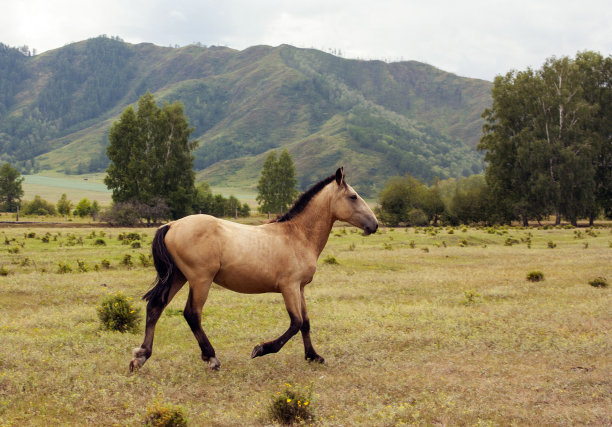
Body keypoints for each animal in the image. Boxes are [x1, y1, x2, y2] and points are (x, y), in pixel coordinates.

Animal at [129, 167, 378, 372]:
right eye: (353, 196)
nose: (374, 224)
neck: (297, 235)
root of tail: (171, 225)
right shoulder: (289, 287)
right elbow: (295, 323)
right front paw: (261, 349)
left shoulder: (300, 288)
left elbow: (306, 323)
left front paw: (313, 356)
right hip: (200, 280)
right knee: (192, 314)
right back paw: (211, 358)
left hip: (177, 277)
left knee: (155, 307)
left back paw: (140, 357)